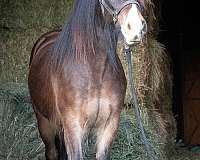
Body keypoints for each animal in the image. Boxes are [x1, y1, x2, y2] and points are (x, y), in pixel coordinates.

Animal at [28, 0, 146, 159]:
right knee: (51, 152)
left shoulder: (110, 125)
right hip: (44, 123)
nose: (136, 28)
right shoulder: (73, 127)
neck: (95, 71)